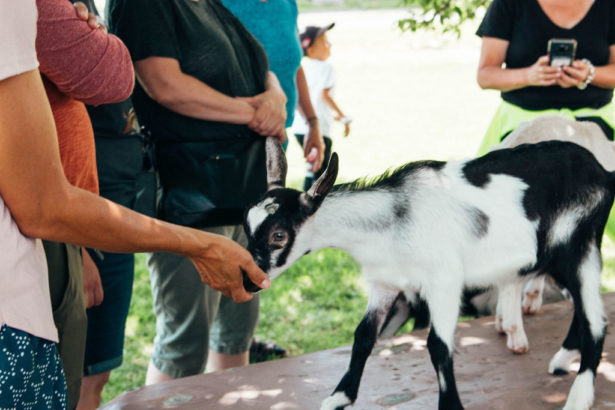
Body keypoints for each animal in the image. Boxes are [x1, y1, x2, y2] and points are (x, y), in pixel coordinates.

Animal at [243, 138, 612, 410]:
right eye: (247, 225)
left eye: (279, 235)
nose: (249, 280)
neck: (393, 220)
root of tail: (604, 173)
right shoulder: (385, 283)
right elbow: (363, 336)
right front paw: (339, 397)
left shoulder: (444, 282)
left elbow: (437, 345)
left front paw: (450, 406)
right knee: (581, 309)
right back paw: (563, 358)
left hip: (577, 248)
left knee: (596, 320)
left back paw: (578, 396)